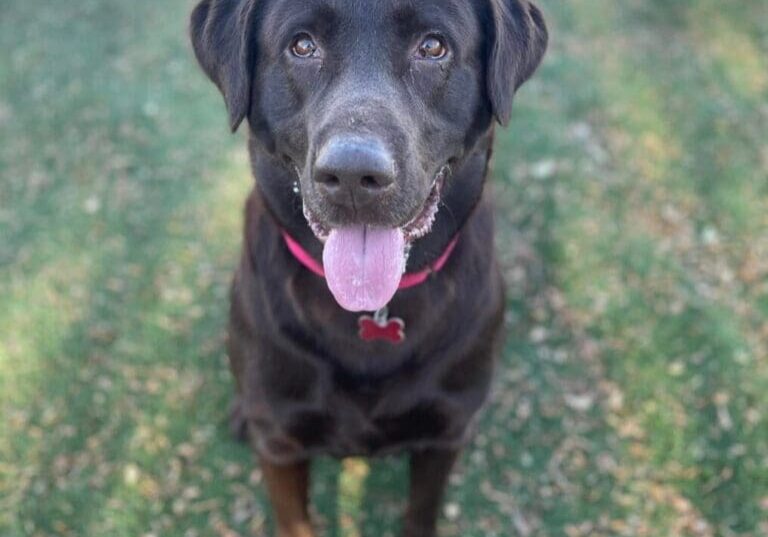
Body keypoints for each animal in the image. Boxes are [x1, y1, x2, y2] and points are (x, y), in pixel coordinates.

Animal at [189, 2, 544, 532]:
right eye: (302, 45)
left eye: (433, 46)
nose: (354, 175)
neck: (369, 310)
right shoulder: (280, 441)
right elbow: (296, 522)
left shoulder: (443, 433)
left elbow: (421, 513)